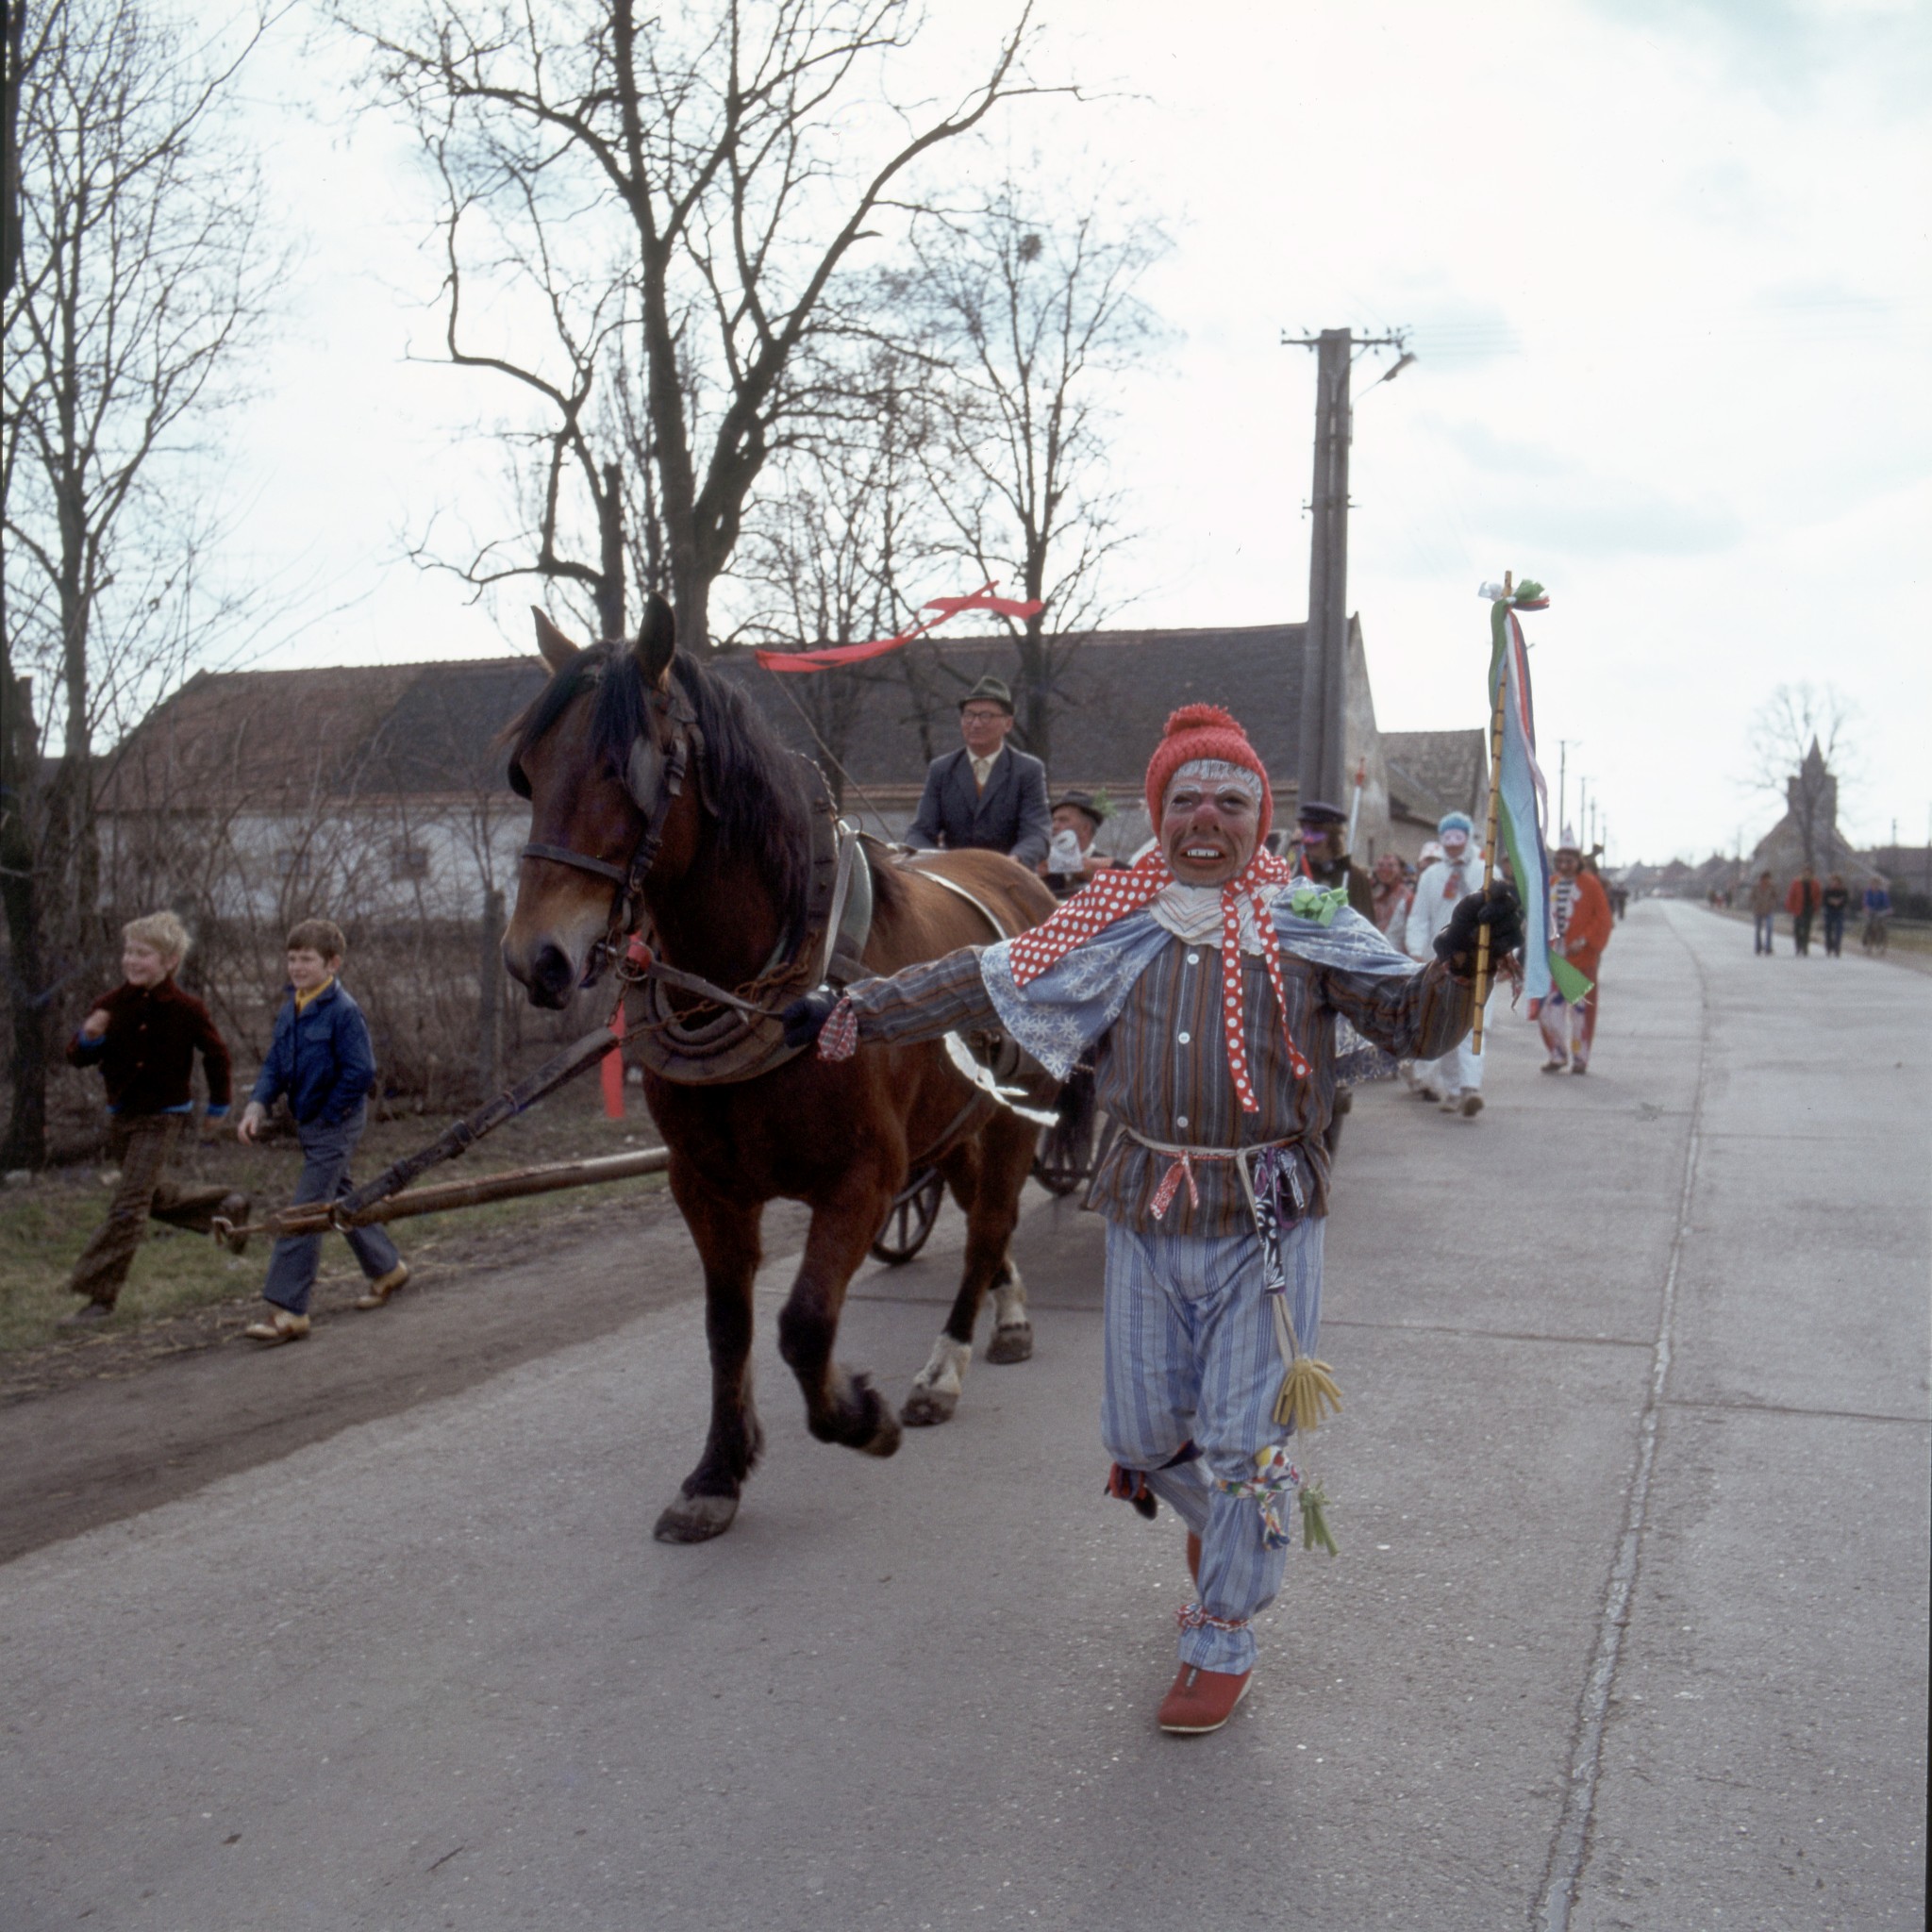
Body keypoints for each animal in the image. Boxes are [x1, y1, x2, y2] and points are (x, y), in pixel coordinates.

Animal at [501, 594, 1059, 1543]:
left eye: (622, 768)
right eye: (529, 773)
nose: (535, 958)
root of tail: (1020, 875)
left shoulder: (866, 1178)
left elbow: (802, 1323)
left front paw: (858, 1416)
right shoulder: (705, 1185)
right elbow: (729, 1326)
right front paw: (716, 1474)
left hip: (1019, 1114)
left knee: (990, 1224)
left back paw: (943, 1371)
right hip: (955, 1123)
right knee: (986, 1217)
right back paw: (1009, 1311)